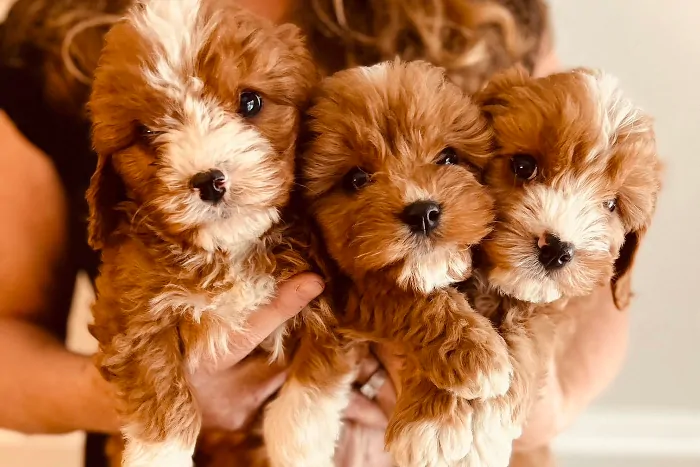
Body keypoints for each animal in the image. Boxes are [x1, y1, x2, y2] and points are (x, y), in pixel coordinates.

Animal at [85, 0, 318, 467]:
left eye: (250, 102)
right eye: (147, 132)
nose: (210, 181)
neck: (229, 250)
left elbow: (309, 387)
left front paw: (296, 449)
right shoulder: (128, 310)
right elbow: (159, 390)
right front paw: (159, 455)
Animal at [266, 59, 512, 467]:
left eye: (448, 157)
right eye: (356, 179)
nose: (423, 212)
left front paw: (433, 426)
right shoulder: (351, 288)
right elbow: (411, 299)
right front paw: (475, 359)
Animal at [460, 66, 660, 467]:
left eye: (611, 205)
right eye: (524, 166)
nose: (556, 249)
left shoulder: (550, 309)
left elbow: (530, 335)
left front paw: (481, 439)